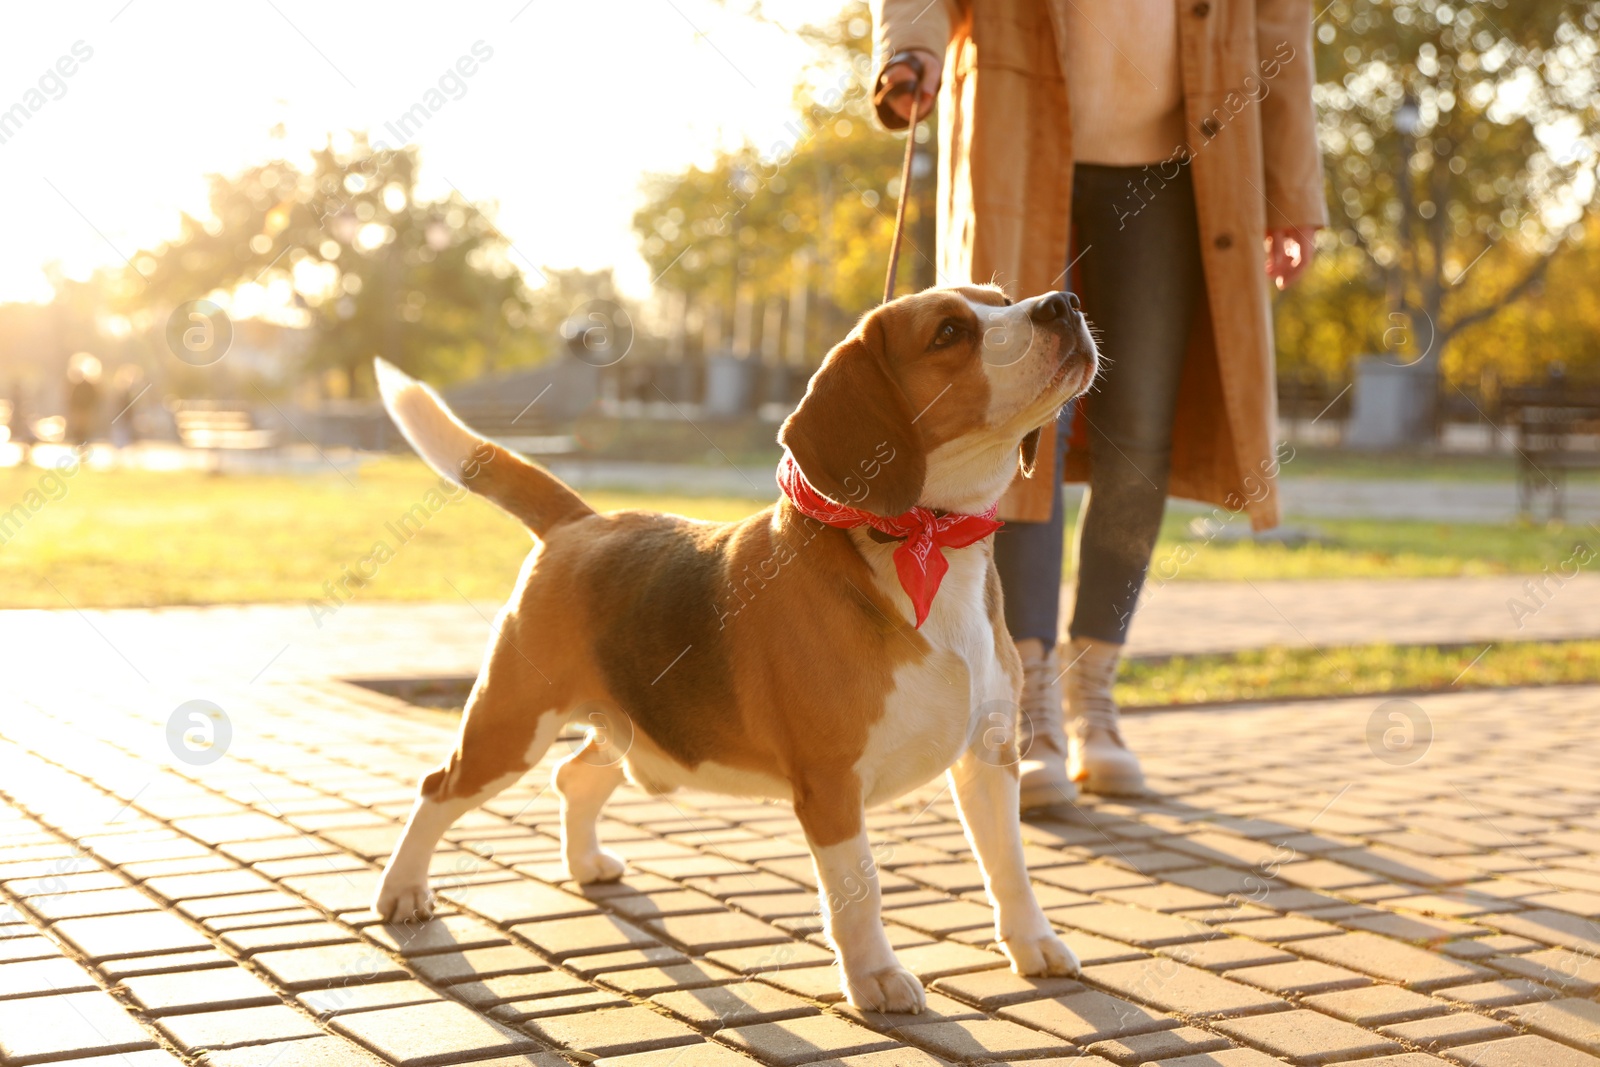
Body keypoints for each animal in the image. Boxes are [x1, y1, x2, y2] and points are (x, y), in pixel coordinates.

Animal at [374, 286, 1100, 1011]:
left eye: (1002, 299)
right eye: (949, 332)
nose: (1062, 303)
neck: (926, 538)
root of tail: (582, 521)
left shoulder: (991, 756)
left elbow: (1010, 865)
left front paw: (1033, 943)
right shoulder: (831, 786)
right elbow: (858, 888)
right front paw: (874, 976)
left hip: (629, 727)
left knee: (572, 776)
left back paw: (585, 864)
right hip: (511, 726)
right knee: (439, 787)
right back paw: (403, 890)